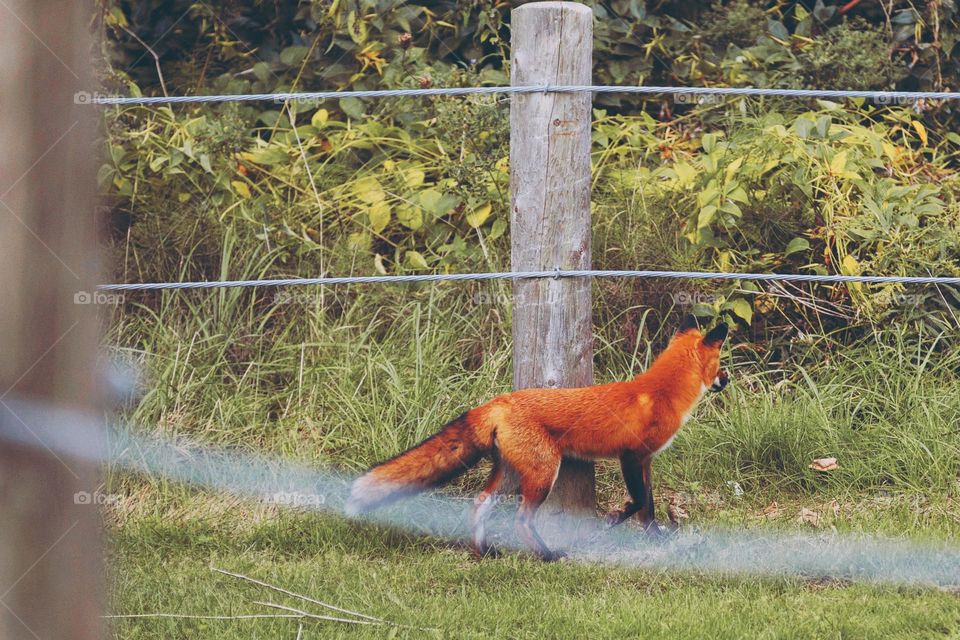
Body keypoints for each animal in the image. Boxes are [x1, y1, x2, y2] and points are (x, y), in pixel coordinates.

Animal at [344, 316, 728, 560]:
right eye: (721, 360)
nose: (726, 379)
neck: (661, 392)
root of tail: (497, 402)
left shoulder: (646, 460)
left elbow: (647, 505)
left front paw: (655, 537)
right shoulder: (631, 457)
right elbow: (636, 502)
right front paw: (614, 519)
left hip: (511, 474)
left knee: (478, 505)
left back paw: (484, 552)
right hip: (543, 473)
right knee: (521, 519)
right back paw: (547, 555)